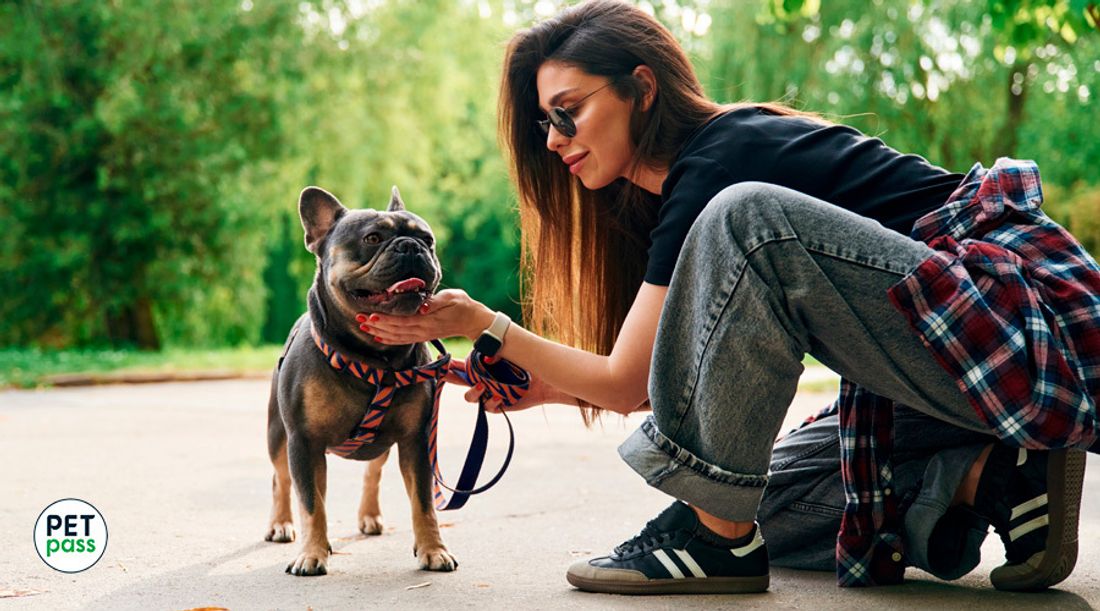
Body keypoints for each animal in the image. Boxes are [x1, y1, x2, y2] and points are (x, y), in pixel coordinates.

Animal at [264, 183, 457, 576]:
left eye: (428, 240)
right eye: (372, 238)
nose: (410, 246)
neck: (374, 357)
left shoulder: (416, 441)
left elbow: (423, 503)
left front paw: (433, 550)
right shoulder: (303, 442)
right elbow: (312, 504)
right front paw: (312, 554)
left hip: (382, 445)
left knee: (372, 473)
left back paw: (370, 516)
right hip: (278, 437)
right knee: (283, 480)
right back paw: (281, 524)